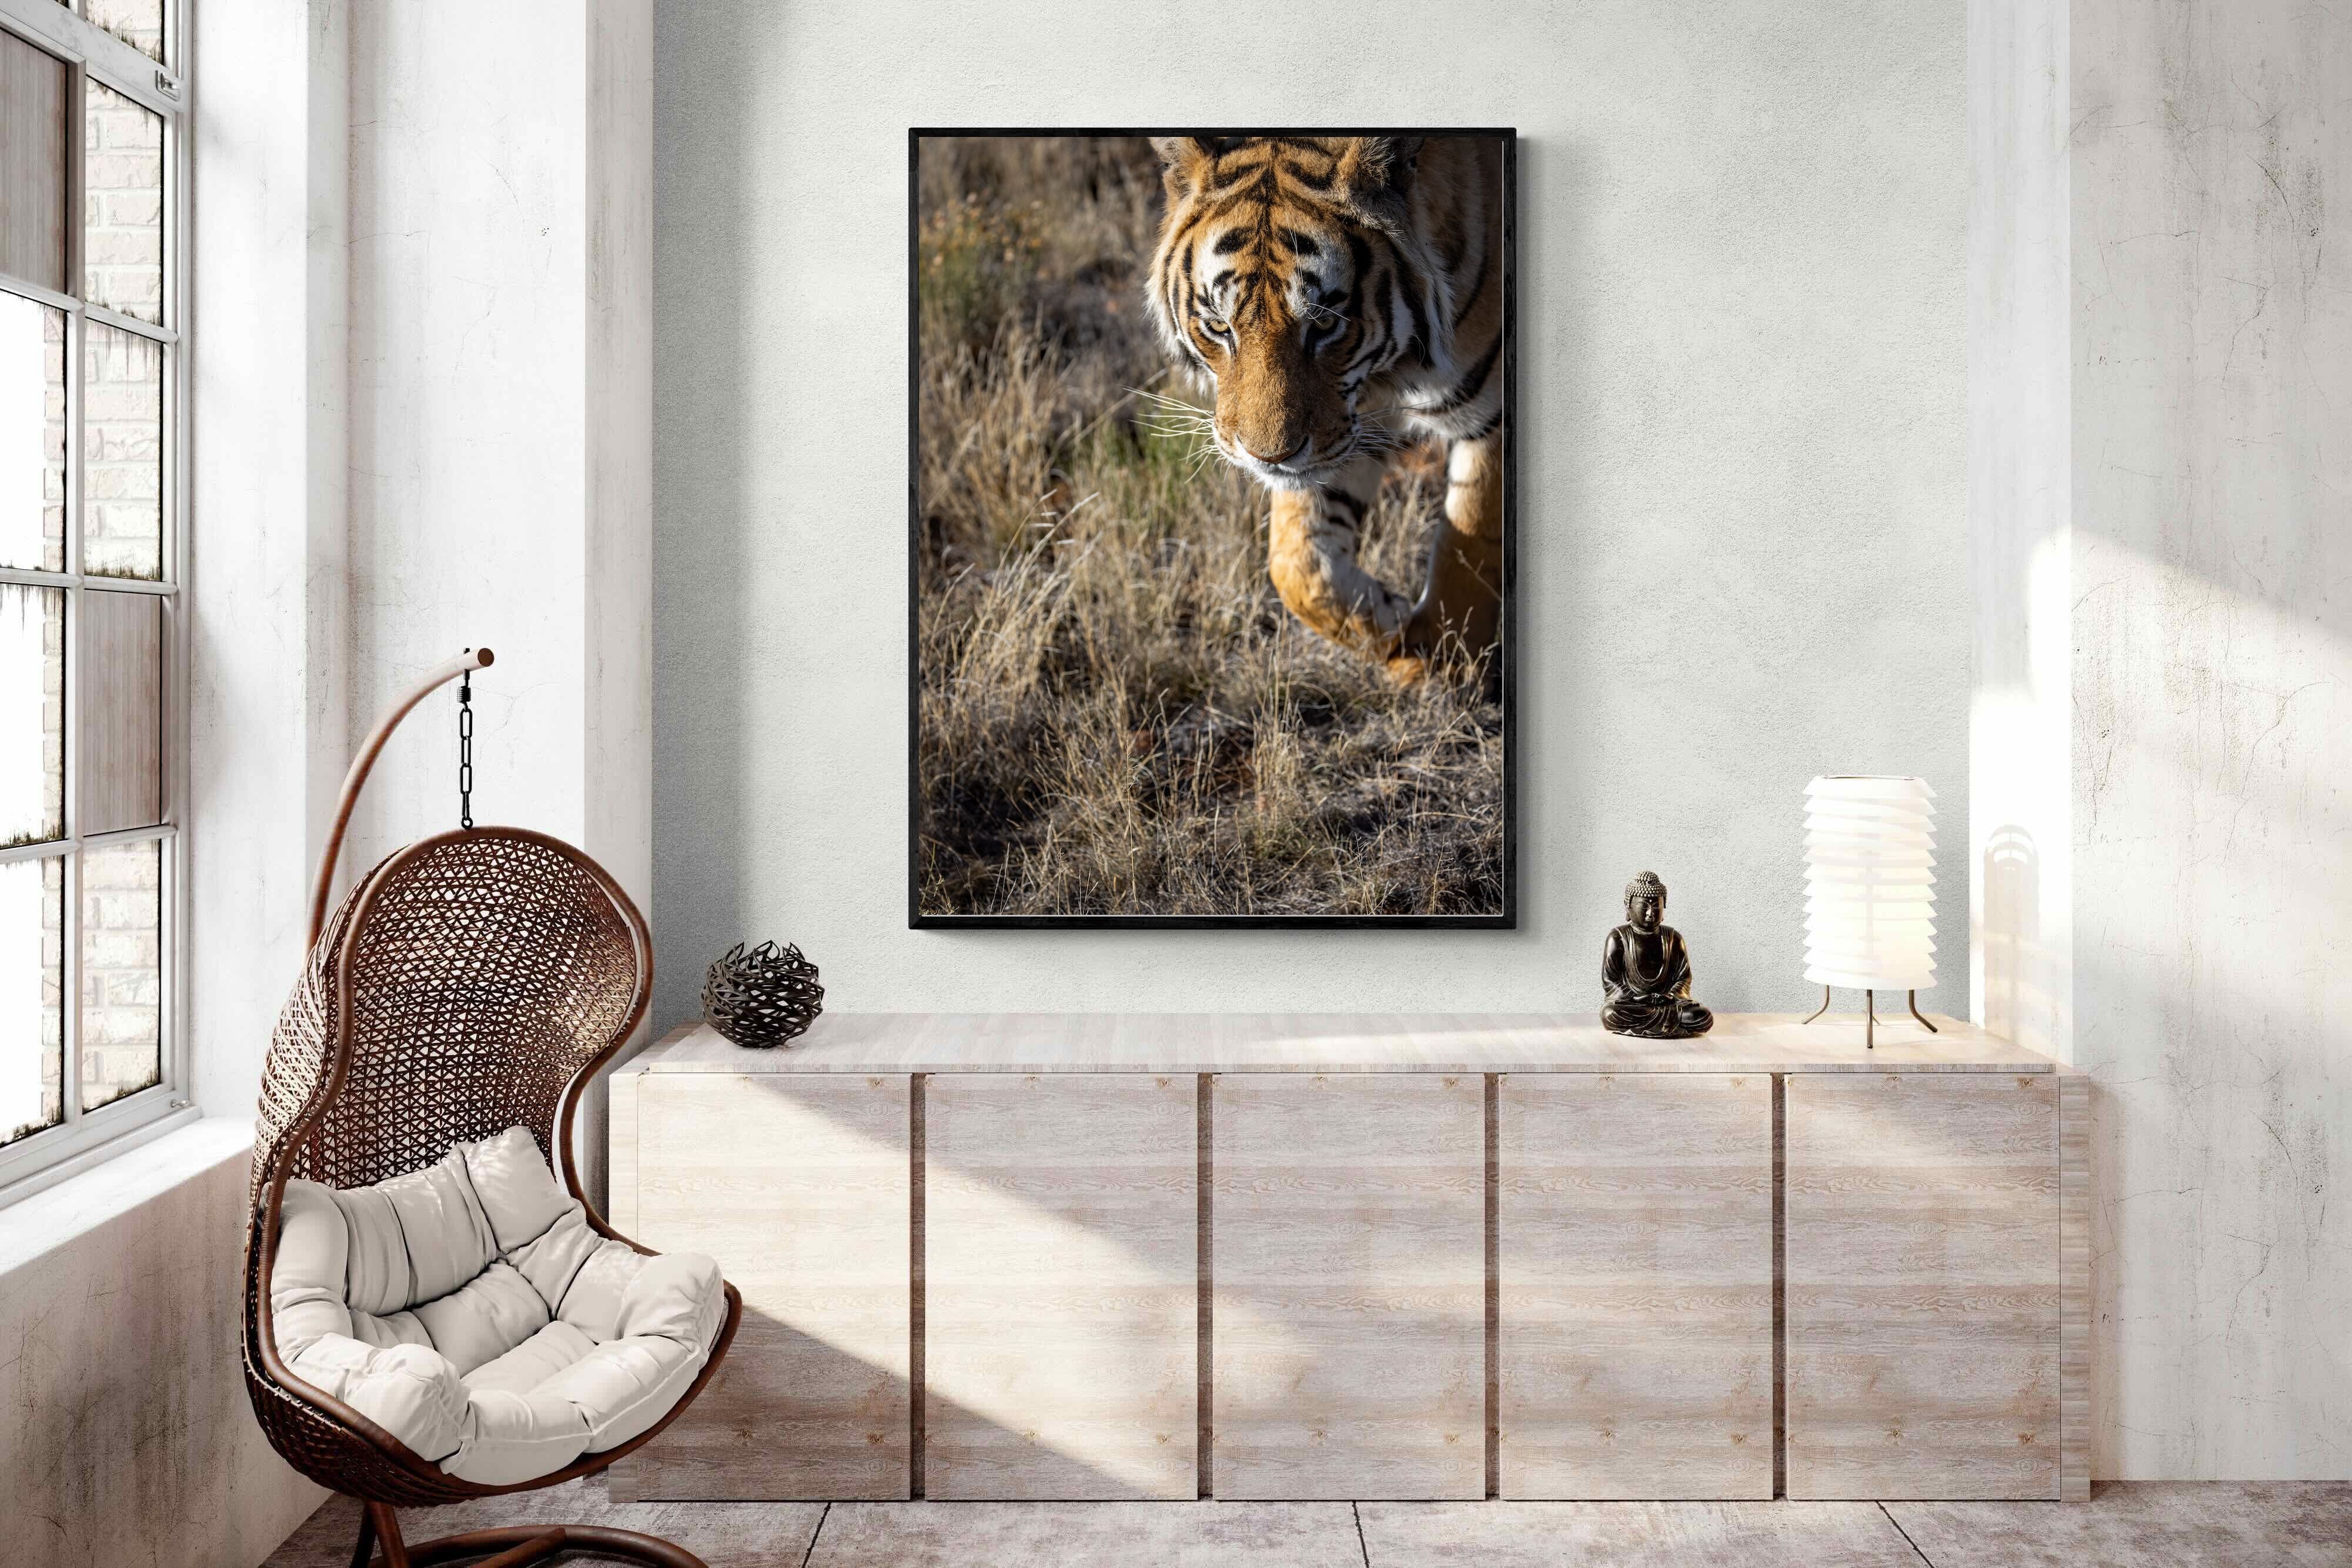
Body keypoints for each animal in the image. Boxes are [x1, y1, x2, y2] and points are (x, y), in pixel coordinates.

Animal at [1145, 134, 1505, 681]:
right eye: (1219, 326)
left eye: (1326, 324)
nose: (1268, 458)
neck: (1392, 371)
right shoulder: (1345, 428)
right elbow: (1297, 564)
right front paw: (1390, 621)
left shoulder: (1493, 415)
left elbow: (1470, 544)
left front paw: (1441, 663)